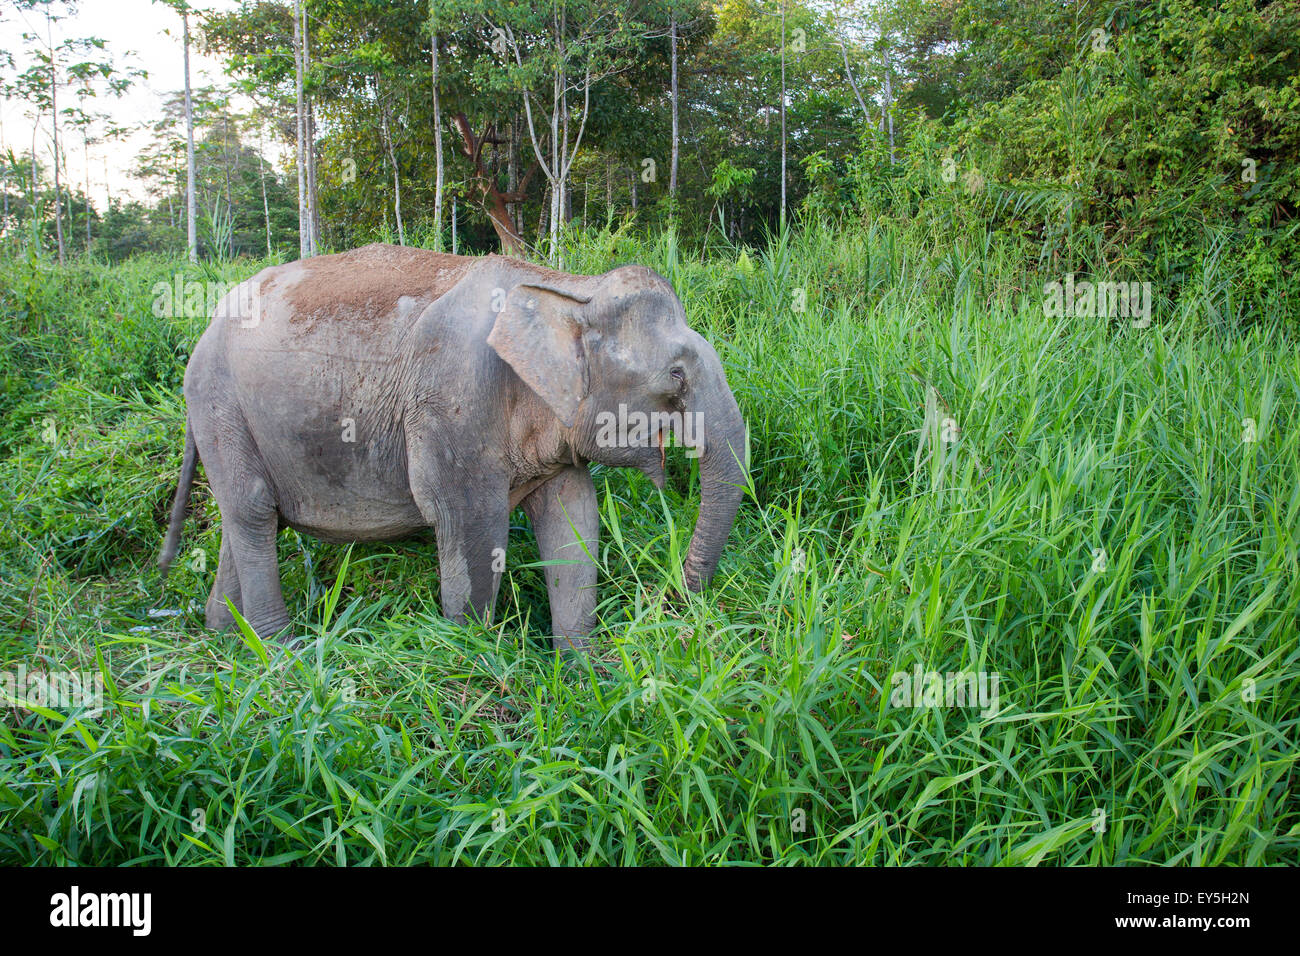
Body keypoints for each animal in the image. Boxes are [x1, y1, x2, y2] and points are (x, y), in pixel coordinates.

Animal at [158, 244, 747, 651]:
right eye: (675, 377)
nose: (672, 603)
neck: (568, 288)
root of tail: (202, 333)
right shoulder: (452, 403)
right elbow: (469, 524)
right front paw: (472, 656)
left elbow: (573, 522)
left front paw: (580, 672)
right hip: (221, 405)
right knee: (254, 511)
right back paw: (280, 655)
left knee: (245, 519)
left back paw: (224, 640)